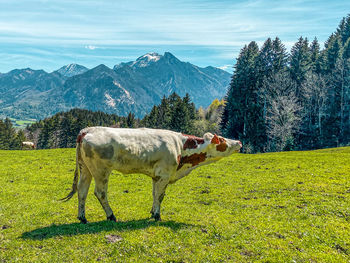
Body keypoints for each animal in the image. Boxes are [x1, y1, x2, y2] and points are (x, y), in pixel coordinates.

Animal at [60, 127, 241, 224]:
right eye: (222, 140)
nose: (238, 142)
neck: (181, 147)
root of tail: (87, 130)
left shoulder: (156, 176)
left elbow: (154, 194)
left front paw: (152, 212)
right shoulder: (164, 174)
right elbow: (160, 196)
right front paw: (157, 216)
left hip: (85, 169)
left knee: (82, 191)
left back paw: (82, 218)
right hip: (101, 170)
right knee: (100, 193)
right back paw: (111, 215)